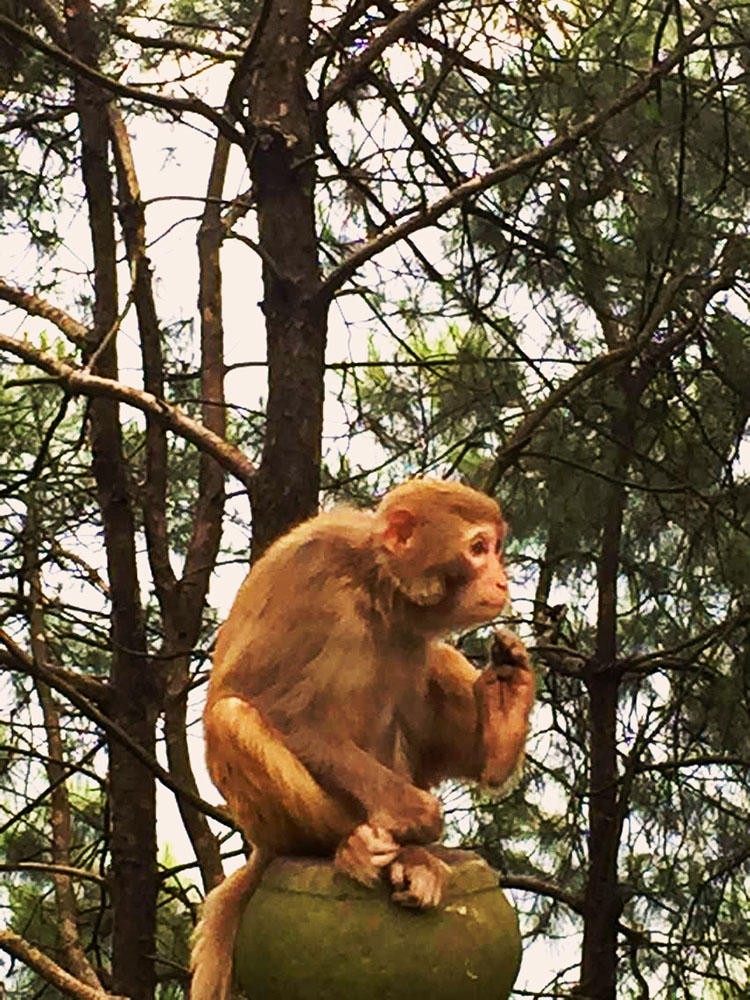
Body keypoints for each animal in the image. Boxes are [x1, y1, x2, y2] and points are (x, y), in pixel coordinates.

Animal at [191, 476, 536, 1000]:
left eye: (496, 548)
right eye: (479, 548)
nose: (501, 581)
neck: (376, 583)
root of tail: (261, 844)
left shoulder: (406, 624)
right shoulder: (312, 574)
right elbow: (273, 704)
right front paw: (413, 815)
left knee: (425, 663)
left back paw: (500, 728)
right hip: (269, 823)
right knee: (235, 717)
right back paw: (351, 845)